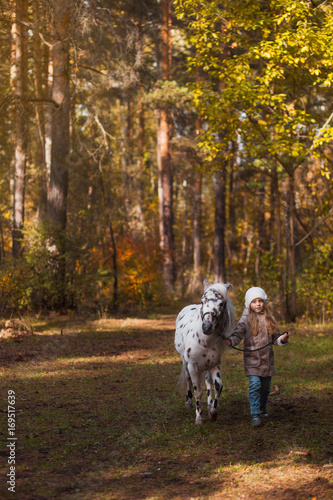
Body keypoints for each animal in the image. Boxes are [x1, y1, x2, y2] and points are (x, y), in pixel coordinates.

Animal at [174, 280, 233, 424]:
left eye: (221, 303)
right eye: (202, 301)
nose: (207, 327)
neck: (204, 340)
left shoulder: (215, 365)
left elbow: (218, 386)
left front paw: (213, 412)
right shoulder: (192, 366)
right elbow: (198, 392)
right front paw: (199, 418)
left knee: (208, 381)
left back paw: (209, 404)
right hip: (185, 362)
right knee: (188, 379)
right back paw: (188, 403)